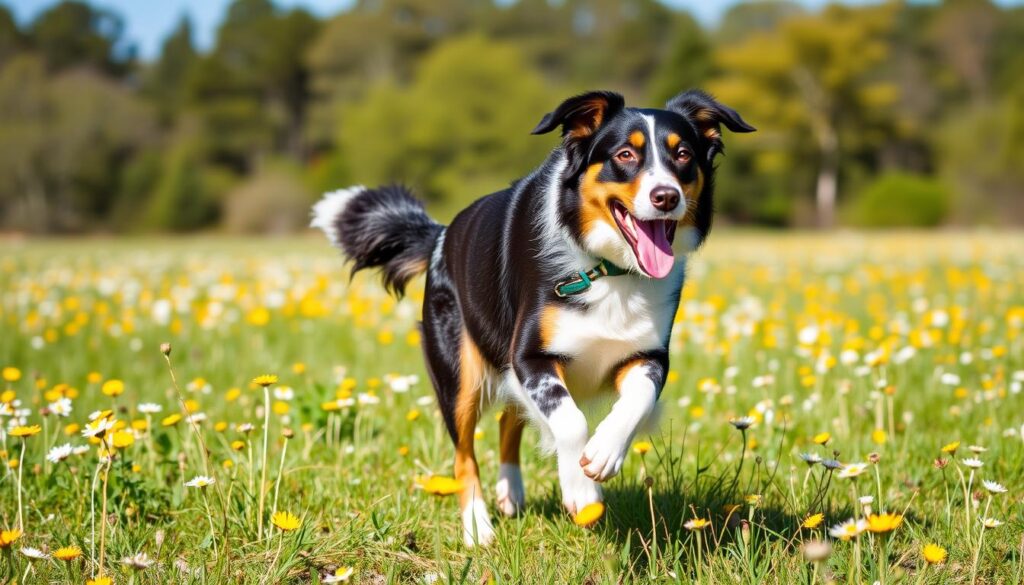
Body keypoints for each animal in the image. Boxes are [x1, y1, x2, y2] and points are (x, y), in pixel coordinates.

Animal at [311, 89, 753, 549]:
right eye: (625, 154)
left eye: (683, 154)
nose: (666, 196)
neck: (608, 270)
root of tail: (441, 234)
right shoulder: (529, 356)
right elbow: (570, 421)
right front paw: (581, 492)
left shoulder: (646, 355)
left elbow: (637, 398)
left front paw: (604, 452)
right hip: (460, 373)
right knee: (464, 454)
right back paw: (477, 527)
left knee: (510, 419)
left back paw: (511, 493)